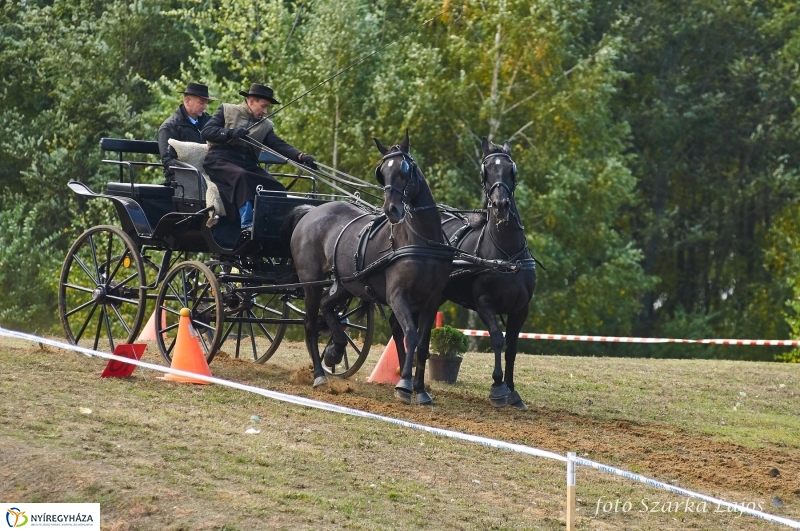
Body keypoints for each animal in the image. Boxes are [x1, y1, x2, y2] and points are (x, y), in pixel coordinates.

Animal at [284, 134, 454, 408]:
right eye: (382, 172)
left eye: (405, 169)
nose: (391, 210)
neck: (422, 241)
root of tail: (311, 211)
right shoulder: (398, 296)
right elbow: (410, 335)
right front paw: (404, 386)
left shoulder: (432, 300)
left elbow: (423, 344)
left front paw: (421, 391)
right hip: (311, 282)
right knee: (310, 323)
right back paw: (320, 375)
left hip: (346, 283)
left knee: (327, 306)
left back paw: (335, 350)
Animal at [390, 136, 536, 408]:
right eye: (485, 170)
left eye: (511, 169)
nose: (501, 205)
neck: (506, 254)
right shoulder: (484, 303)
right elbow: (498, 339)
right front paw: (498, 388)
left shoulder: (522, 308)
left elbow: (512, 348)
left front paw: (513, 392)